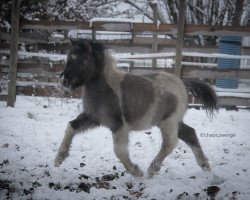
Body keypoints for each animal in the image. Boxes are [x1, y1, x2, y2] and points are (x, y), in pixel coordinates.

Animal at [54, 39, 217, 178]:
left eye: (81, 61)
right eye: (68, 59)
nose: (63, 80)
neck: (106, 89)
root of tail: (183, 83)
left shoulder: (119, 125)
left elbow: (119, 151)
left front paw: (136, 171)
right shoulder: (92, 118)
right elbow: (71, 126)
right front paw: (59, 158)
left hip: (168, 122)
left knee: (170, 142)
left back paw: (152, 169)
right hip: (174, 121)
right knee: (190, 134)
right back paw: (205, 167)